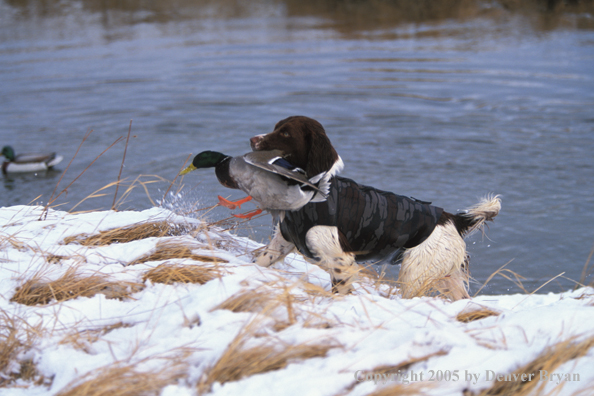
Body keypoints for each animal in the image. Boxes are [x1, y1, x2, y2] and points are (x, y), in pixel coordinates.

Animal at [247, 114, 498, 300]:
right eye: (276, 127)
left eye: (285, 133)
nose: (252, 139)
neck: (312, 193)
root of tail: (453, 218)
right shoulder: (284, 240)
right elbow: (262, 259)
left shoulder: (342, 260)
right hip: (445, 275)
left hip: (415, 272)